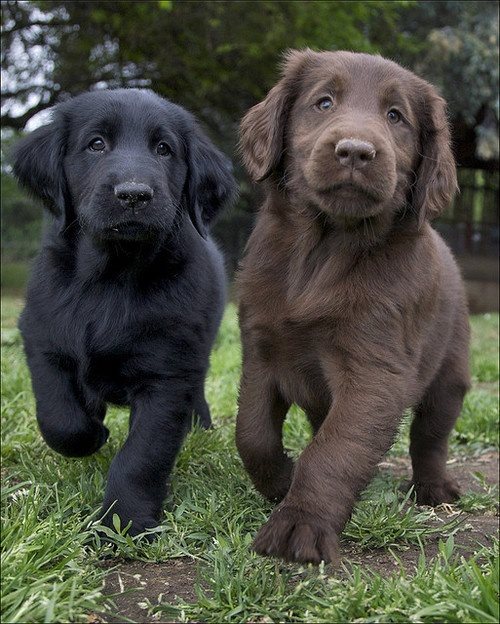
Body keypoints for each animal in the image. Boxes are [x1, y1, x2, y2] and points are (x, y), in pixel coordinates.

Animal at [13, 89, 236, 536]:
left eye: (164, 149)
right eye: (96, 144)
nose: (134, 194)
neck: (111, 277)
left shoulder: (167, 376)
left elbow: (141, 456)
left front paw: (123, 523)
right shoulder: (42, 339)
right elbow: (60, 418)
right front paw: (92, 431)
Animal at [234, 50, 468, 564]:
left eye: (396, 116)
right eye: (324, 102)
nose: (356, 151)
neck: (325, 247)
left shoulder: (375, 370)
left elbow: (335, 450)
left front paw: (301, 523)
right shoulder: (259, 349)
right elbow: (252, 433)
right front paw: (281, 480)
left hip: (450, 374)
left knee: (430, 437)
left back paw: (434, 488)